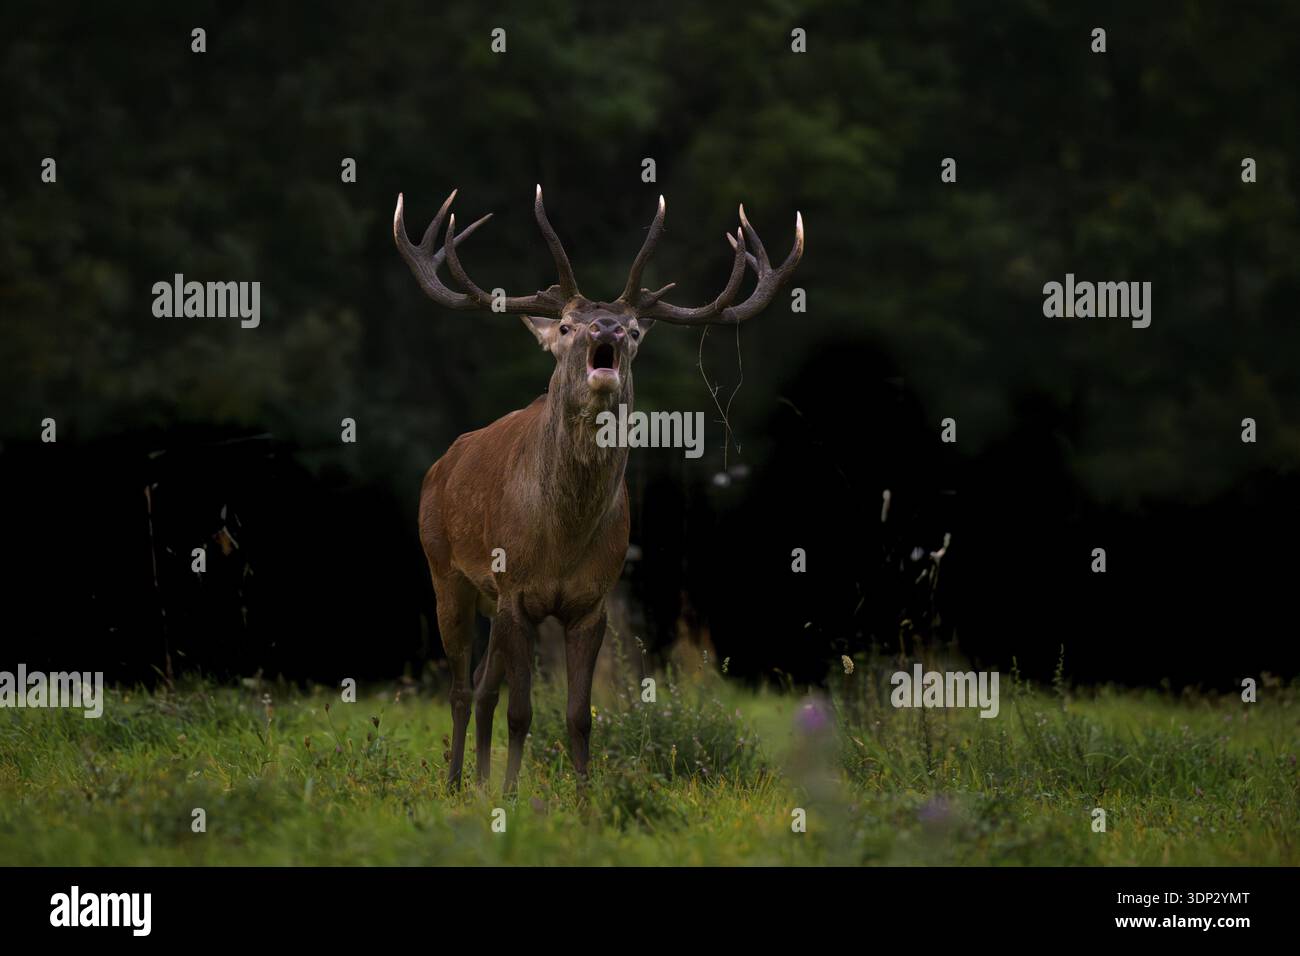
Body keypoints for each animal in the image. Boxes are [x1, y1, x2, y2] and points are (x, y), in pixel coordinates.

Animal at [394, 185, 803, 793]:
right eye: (565, 327)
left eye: (633, 331)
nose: (605, 329)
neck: (561, 541)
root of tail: (439, 467)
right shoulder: (515, 591)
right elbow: (522, 711)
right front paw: (512, 795)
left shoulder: (592, 602)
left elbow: (579, 715)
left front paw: (584, 798)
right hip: (446, 571)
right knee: (463, 690)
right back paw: (455, 784)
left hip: (487, 596)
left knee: (485, 688)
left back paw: (480, 782)